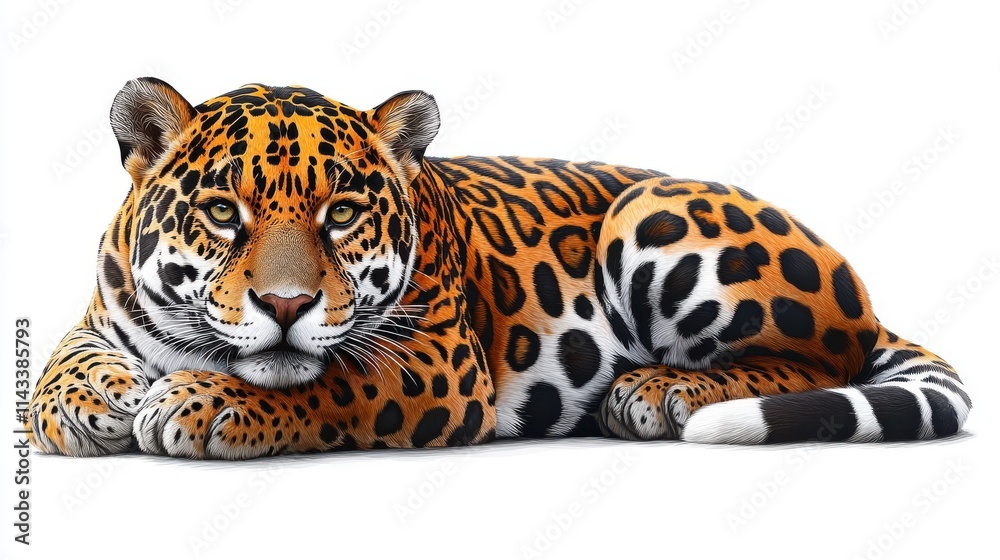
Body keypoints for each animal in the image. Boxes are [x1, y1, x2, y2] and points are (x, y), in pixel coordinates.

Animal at [23, 78, 972, 458]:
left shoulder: (437, 362)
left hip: (649, 212)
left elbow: (325, 385)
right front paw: (86, 401)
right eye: (224, 212)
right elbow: (58, 361)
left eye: (343, 214)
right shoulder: (101, 311)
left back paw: (662, 389)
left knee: (823, 359)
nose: (286, 304)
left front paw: (205, 404)